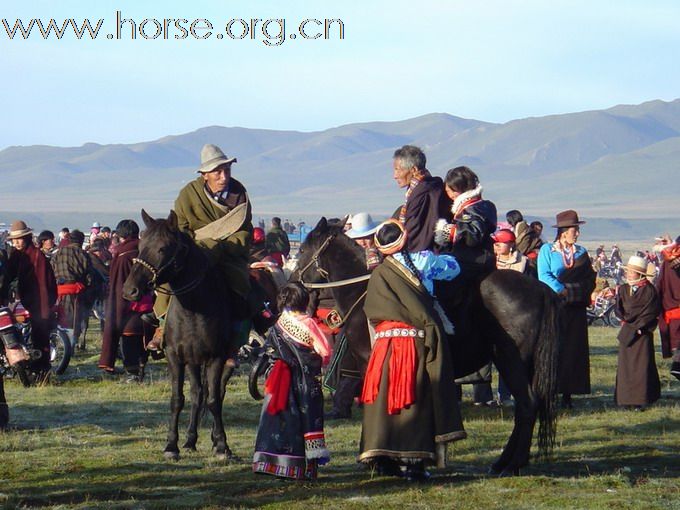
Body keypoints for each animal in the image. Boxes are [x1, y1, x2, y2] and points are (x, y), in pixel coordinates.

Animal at [122, 211, 236, 462]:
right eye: (140, 245)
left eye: (163, 248)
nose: (129, 291)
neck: (194, 308)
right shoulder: (175, 356)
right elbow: (178, 399)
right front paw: (171, 445)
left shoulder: (216, 357)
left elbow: (214, 401)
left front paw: (222, 445)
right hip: (192, 360)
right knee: (197, 394)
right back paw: (190, 440)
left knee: (213, 394)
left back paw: (213, 439)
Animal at [294, 217, 560, 476]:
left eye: (304, 250)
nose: (291, 287)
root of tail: (540, 289)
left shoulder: (370, 362)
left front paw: (383, 461)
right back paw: (504, 462)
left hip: (510, 359)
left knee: (527, 404)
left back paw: (512, 464)